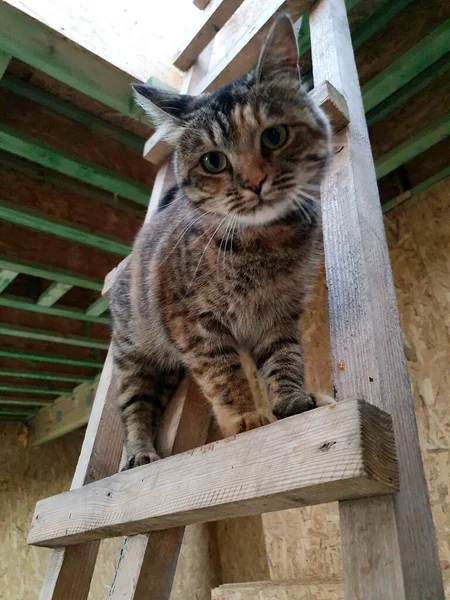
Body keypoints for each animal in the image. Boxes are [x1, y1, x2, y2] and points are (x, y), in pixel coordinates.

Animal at [110, 12, 334, 468]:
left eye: (274, 136)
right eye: (214, 161)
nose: (254, 182)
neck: (265, 244)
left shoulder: (280, 315)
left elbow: (285, 358)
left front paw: (292, 400)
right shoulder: (195, 327)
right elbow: (224, 373)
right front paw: (246, 417)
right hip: (134, 353)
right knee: (135, 407)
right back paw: (140, 452)